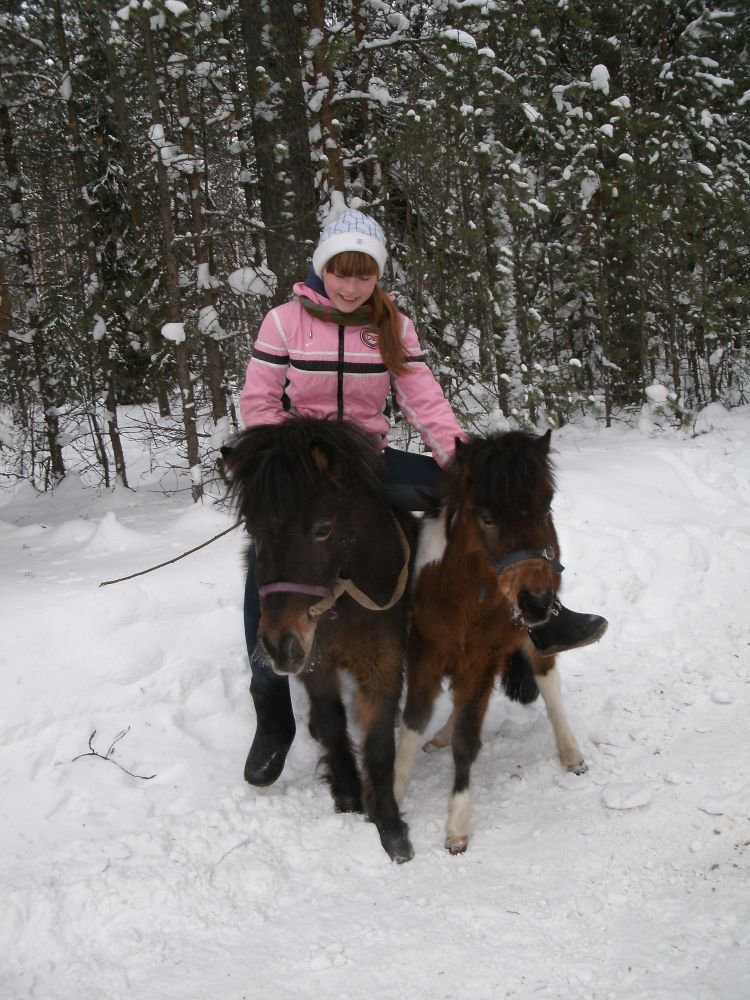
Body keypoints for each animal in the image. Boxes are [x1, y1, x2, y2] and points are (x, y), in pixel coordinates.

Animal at [226, 418, 418, 864]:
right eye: (252, 528)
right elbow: (332, 723)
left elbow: (379, 743)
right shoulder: (316, 663)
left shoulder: (382, 665)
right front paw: (347, 794)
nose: (278, 645)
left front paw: (390, 827)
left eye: (323, 529)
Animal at [394, 430, 588, 852]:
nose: (537, 601)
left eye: (546, 505)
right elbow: (412, 721)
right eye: (486, 517)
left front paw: (456, 826)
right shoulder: (425, 652)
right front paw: (393, 795)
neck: (465, 595)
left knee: (548, 682)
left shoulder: (484, 656)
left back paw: (571, 754)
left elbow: (469, 739)